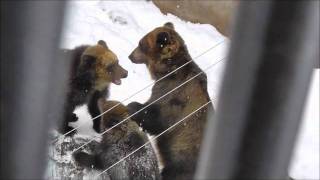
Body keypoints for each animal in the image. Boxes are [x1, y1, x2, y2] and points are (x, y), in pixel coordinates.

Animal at [127, 22, 212, 180]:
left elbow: (156, 119)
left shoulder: (174, 96)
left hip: (182, 161)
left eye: (141, 44)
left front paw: (133, 107)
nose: (130, 56)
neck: (169, 70)